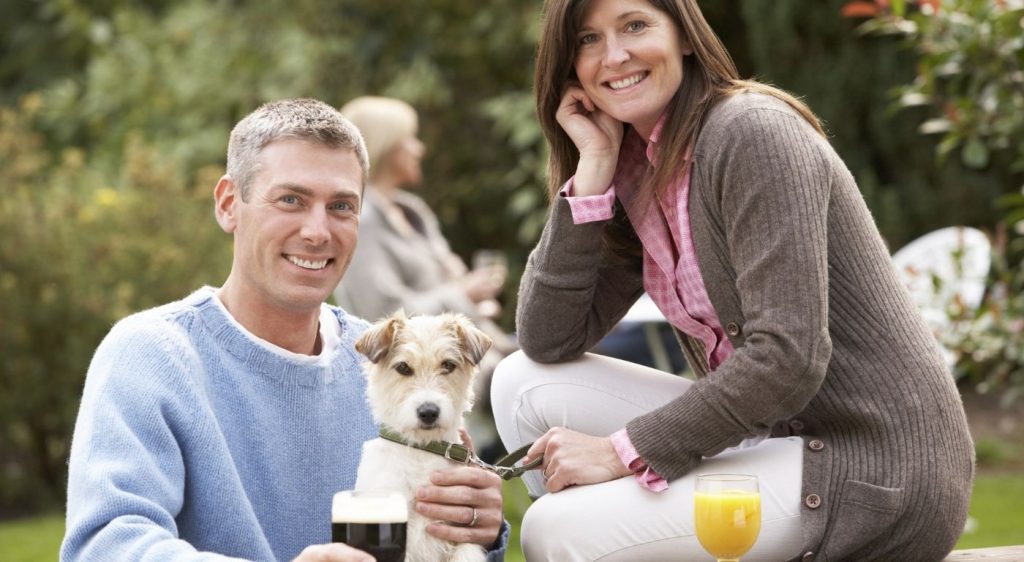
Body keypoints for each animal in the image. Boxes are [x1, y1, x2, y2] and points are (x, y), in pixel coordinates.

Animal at [356, 311, 491, 560]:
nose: (428, 412)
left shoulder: (461, 535)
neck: (422, 450)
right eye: (403, 367)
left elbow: (467, 552)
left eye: (448, 365)